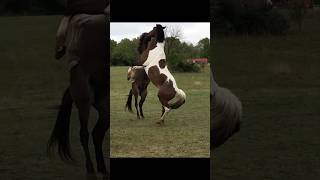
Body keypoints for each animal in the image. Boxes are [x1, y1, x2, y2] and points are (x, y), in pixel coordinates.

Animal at [46, 2, 110, 177]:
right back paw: (91, 171)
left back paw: (102, 169)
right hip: (83, 97)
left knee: (97, 134)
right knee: (84, 134)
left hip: (104, 107)